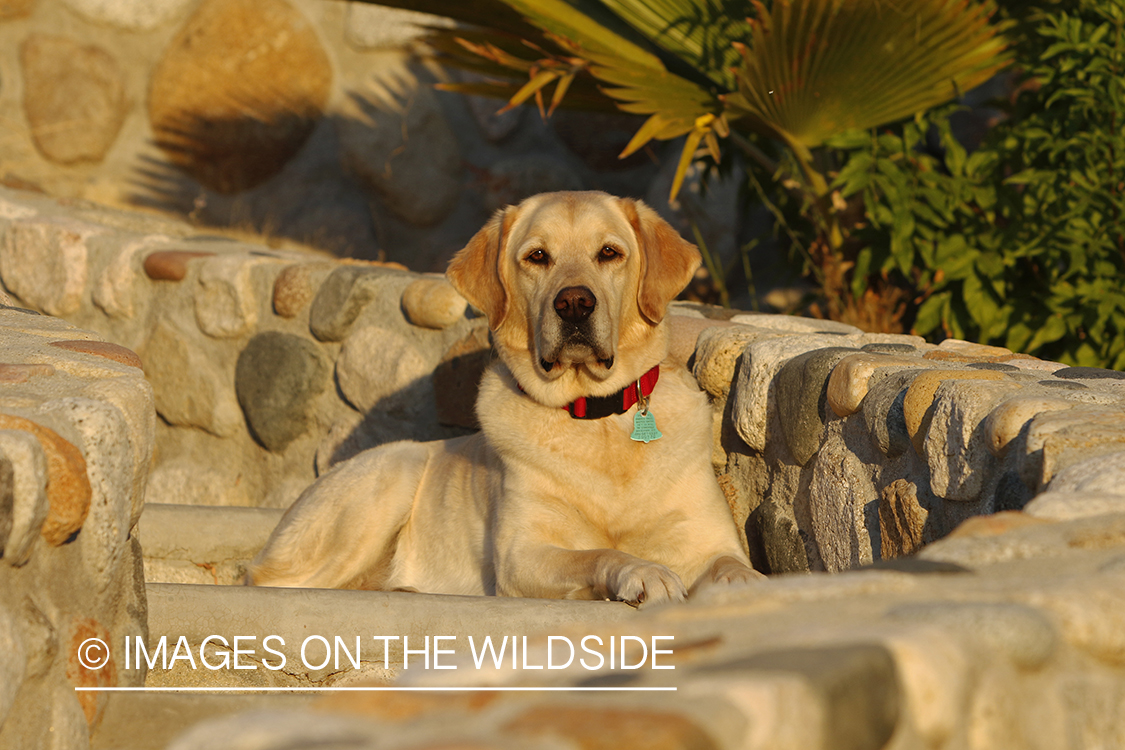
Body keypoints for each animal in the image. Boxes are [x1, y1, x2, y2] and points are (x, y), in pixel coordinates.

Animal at [250, 191, 760, 607]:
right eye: (537, 256)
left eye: (609, 253)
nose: (574, 303)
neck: (597, 419)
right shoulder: (523, 556)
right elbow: (597, 553)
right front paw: (643, 572)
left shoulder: (709, 541)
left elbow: (732, 566)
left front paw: (750, 584)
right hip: (388, 476)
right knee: (269, 580)